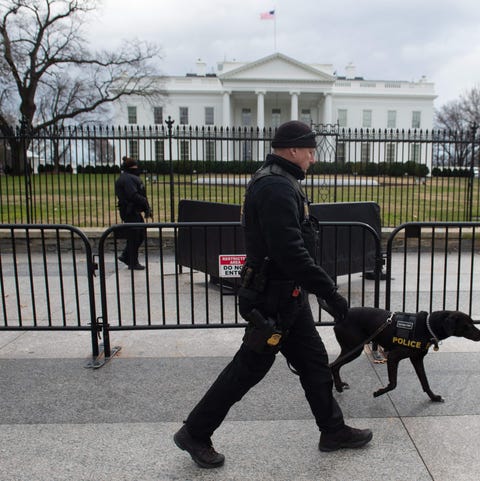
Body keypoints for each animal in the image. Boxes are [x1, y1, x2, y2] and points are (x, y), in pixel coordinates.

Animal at [330, 308, 480, 402]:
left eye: (472, 322)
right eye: (467, 325)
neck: (427, 327)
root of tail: (340, 317)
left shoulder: (417, 359)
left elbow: (425, 382)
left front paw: (434, 397)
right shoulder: (393, 357)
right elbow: (393, 384)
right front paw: (379, 392)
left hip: (351, 349)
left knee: (334, 366)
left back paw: (339, 385)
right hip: (354, 349)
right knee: (333, 365)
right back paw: (338, 386)